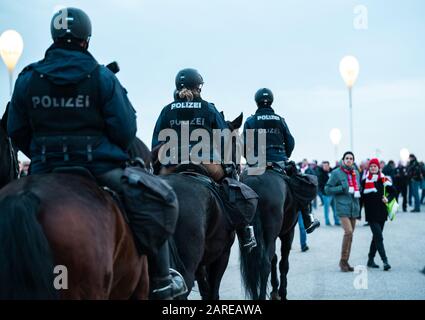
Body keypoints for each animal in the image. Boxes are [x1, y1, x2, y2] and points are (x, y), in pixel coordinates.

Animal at [238, 169, 298, 302]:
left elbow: (274, 258)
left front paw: (275, 291)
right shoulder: (288, 233)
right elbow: (283, 264)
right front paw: (282, 293)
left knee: (252, 265)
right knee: (265, 264)